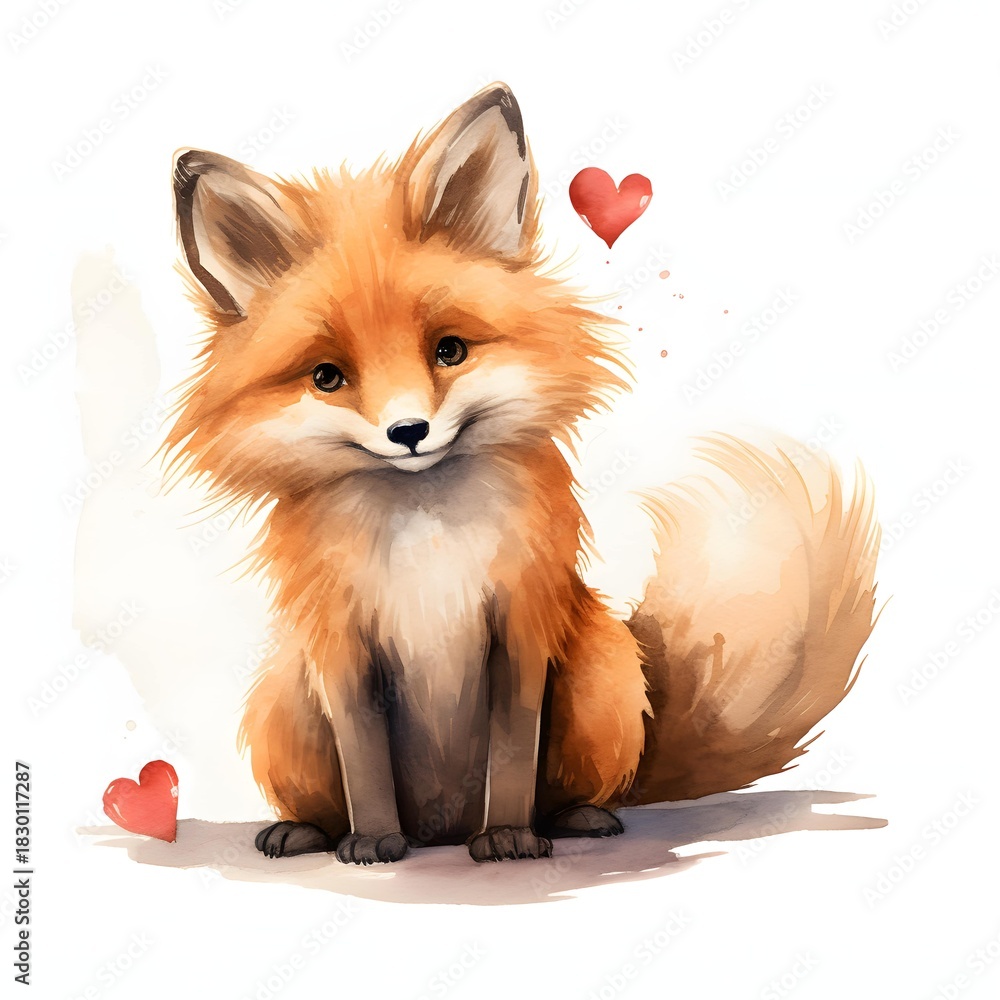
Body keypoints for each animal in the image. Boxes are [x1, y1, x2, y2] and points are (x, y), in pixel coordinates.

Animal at [165, 83, 880, 865]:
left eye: (449, 350)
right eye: (328, 377)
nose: (408, 433)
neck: (425, 534)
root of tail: (441, 828)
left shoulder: (519, 625)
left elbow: (511, 753)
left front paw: (507, 835)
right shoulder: (344, 645)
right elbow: (365, 762)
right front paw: (376, 839)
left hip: (601, 674)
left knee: (585, 792)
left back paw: (573, 821)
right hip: (286, 700)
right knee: (323, 797)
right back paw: (311, 830)